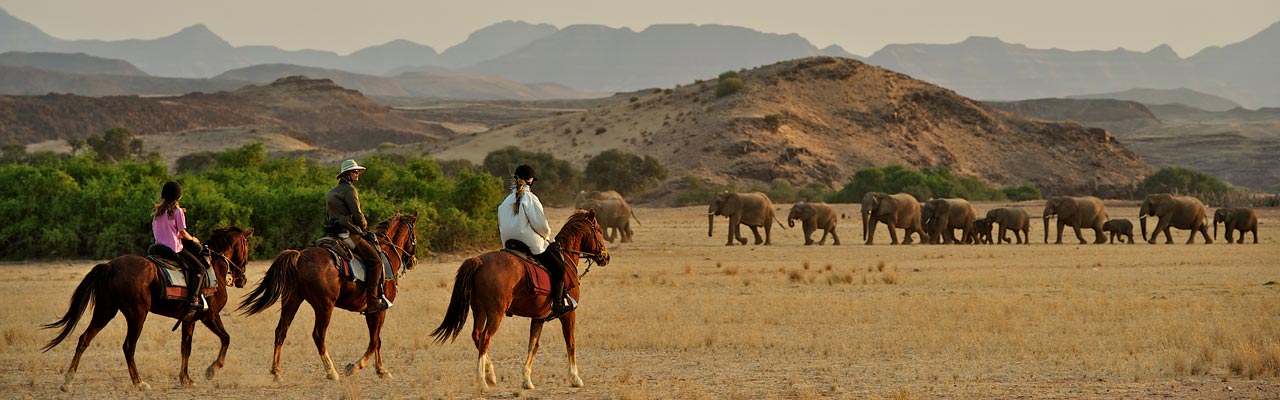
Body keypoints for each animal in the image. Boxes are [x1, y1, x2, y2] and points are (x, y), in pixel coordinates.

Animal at [41, 226, 254, 392]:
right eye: (246, 246)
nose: (242, 279)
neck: (213, 267)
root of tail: (110, 266)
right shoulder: (210, 316)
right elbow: (226, 338)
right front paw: (212, 369)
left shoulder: (189, 319)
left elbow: (186, 348)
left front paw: (186, 379)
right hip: (137, 315)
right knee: (128, 346)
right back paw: (139, 383)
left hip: (105, 311)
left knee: (84, 339)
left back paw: (68, 381)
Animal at [238, 211, 417, 379]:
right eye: (413, 233)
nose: (413, 261)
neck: (386, 254)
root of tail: (300, 256)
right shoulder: (379, 310)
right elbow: (374, 342)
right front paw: (355, 367)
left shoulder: (370, 312)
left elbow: (377, 341)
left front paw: (381, 370)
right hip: (324, 307)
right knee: (318, 335)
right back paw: (332, 371)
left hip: (292, 301)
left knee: (281, 331)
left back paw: (277, 372)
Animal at [430, 208, 609, 389]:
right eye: (599, 231)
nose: (606, 256)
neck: (565, 257)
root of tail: (479, 261)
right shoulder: (568, 314)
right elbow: (570, 343)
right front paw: (575, 378)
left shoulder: (538, 318)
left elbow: (533, 345)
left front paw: (526, 379)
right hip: (496, 313)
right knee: (485, 338)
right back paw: (482, 380)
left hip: (479, 309)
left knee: (477, 335)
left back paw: (490, 374)